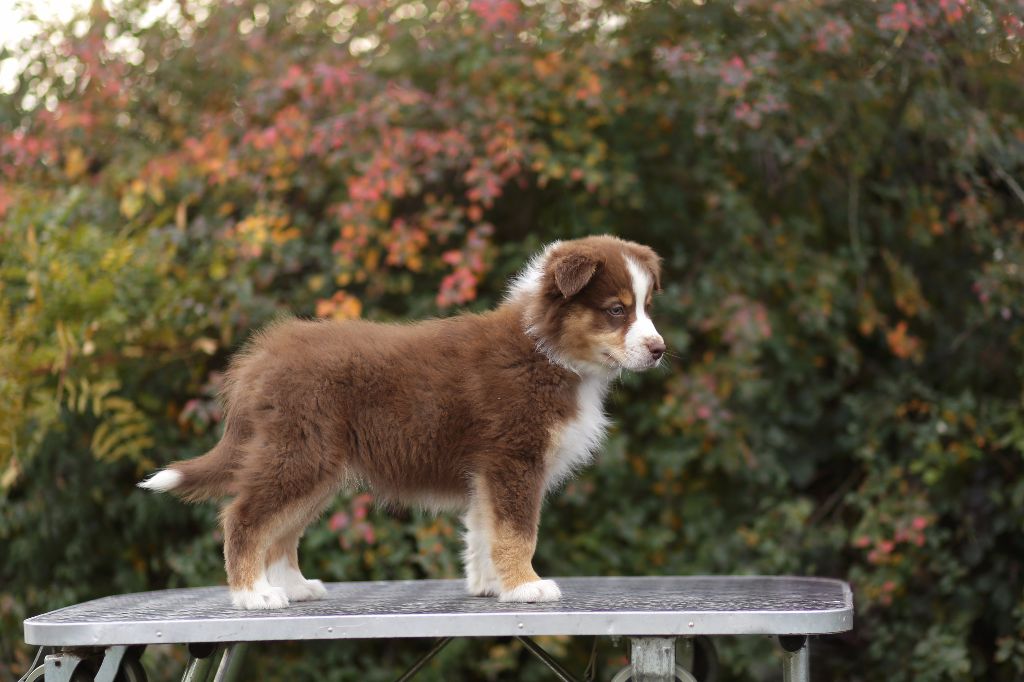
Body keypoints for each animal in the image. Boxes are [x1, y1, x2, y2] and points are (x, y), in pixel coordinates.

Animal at [139, 235, 665, 609]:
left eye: (646, 308)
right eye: (616, 310)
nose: (659, 349)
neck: (546, 350)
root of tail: (260, 357)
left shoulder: (488, 469)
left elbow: (485, 528)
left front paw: (490, 585)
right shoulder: (513, 457)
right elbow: (518, 530)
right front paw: (525, 586)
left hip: (314, 466)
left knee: (283, 530)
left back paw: (295, 586)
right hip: (299, 453)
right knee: (244, 517)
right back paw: (253, 594)